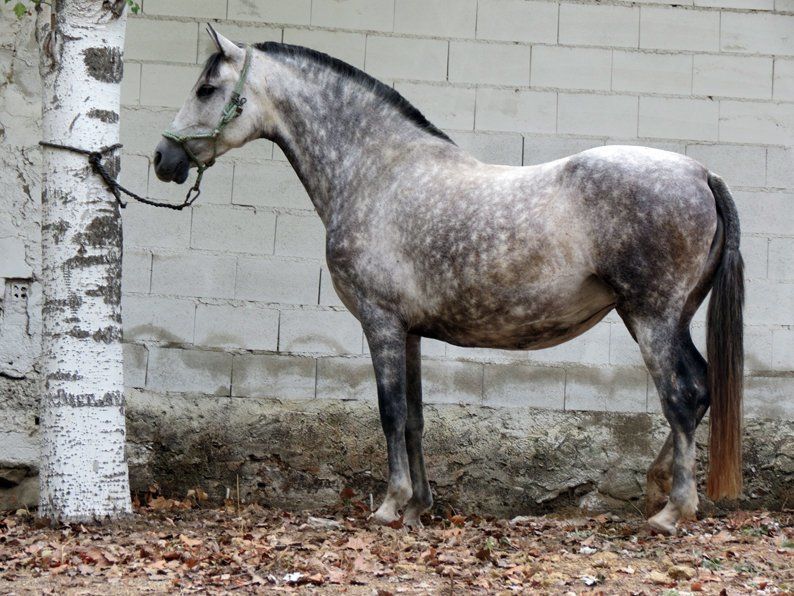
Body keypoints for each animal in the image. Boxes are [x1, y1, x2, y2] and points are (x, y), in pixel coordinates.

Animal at [155, 30, 744, 536]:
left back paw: (672, 511)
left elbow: (390, 413)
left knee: (682, 396)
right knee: (701, 387)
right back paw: (655, 487)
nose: (164, 158)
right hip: (668, 315)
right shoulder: (410, 331)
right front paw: (419, 507)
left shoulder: (381, 323)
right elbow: (414, 418)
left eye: (207, 88)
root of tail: (699, 173)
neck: (378, 174)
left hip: (651, 316)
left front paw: (389, 506)